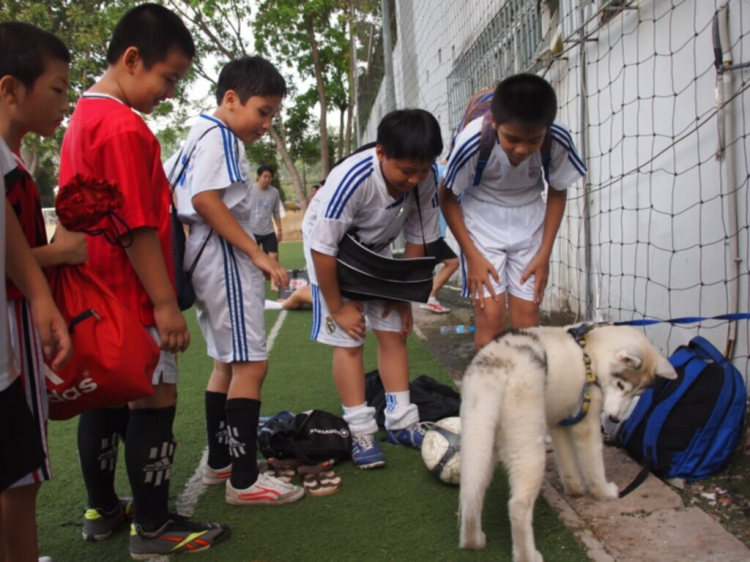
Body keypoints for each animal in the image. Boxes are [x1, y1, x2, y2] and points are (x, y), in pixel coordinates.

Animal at [462, 324, 680, 560]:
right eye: (621, 385)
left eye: (636, 394)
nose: (614, 419)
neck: (591, 354)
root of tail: (500, 365)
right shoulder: (587, 426)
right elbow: (594, 467)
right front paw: (604, 493)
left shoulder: (560, 424)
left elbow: (569, 465)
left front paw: (576, 489)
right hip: (528, 448)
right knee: (518, 505)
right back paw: (528, 556)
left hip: (479, 440)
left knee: (471, 491)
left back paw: (473, 541)